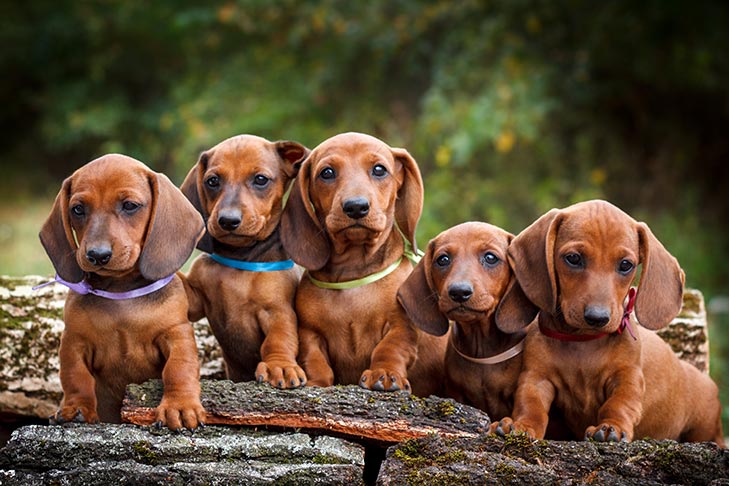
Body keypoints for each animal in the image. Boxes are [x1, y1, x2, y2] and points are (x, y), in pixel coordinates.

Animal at [39, 155, 205, 430]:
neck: (121, 293)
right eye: (78, 209)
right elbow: (76, 377)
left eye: (129, 205)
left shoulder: (176, 333)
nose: (98, 255)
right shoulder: (74, 341)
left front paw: (180, 407)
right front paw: (77, 407)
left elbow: (179, 368)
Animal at [182, 134, 310, 388]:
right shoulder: (196, 297)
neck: (239, 258)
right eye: (212, 181)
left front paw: (280, 366)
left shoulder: (278, 310)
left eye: (260, 179)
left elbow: (279, 338)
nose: (228, 220)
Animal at [282, 132, 446, 394]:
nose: (356, 207)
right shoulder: (310, 333)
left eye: (379, 169)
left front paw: (384, 374)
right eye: (327, 173)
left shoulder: (400, 325)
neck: (353, 274)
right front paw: (317, 383)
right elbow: (315, 359)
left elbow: (389, 348)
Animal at [490, 198, 724, 444]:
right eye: (573, 258)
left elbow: (619, 404)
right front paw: (520, 425)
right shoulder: (536, 378)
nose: (597, 317)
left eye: (626, 265)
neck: (582, 342)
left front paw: (612, 427)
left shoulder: (627, 378)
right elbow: (531, 405)